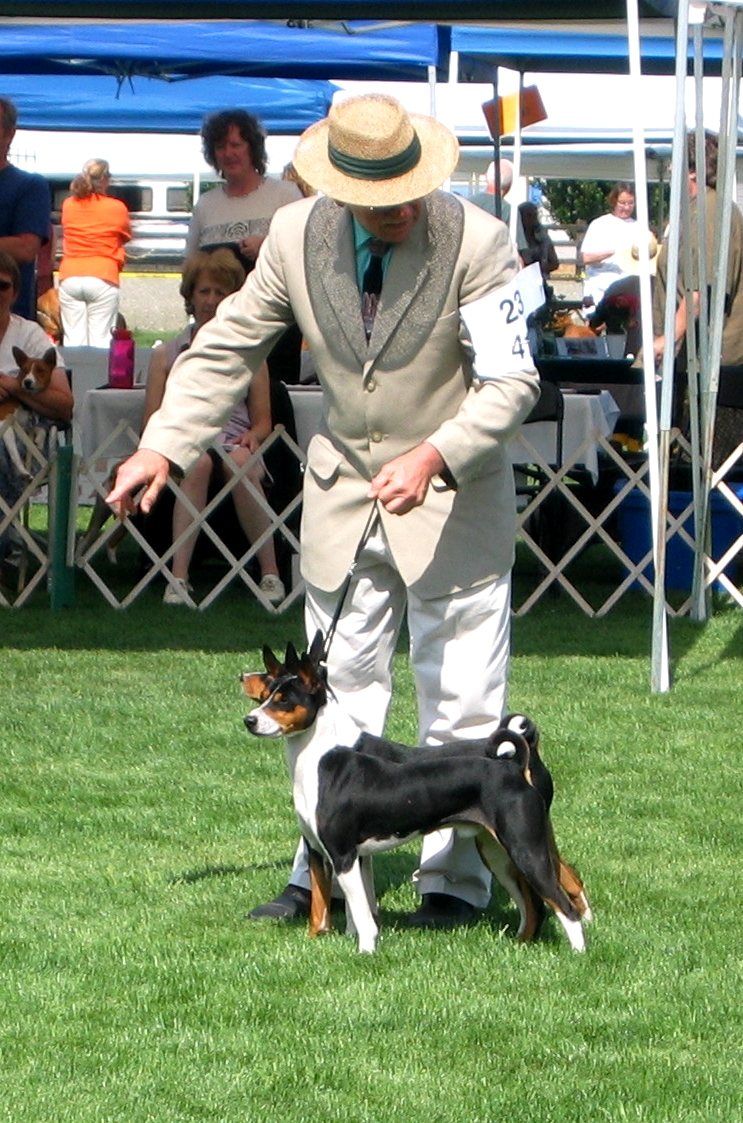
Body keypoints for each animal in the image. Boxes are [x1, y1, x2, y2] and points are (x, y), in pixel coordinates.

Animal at [0, 346, 57, 478]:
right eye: (24, 370)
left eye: (40, 370)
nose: (27, 382)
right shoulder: (5, 424)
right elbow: (14, 452)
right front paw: (23, 471)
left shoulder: (23, 426)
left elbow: (40, 429)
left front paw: (39, 441)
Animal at [241, 633, 588, 954]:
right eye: (267, 695)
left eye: (283, 700)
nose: (249, 720)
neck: (319, 759)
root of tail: (514, 763)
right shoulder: (328, 851)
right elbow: (331, 908)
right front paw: (325, 941)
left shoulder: (342, 854)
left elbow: (361, 915)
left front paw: (365, 952)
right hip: (498, 852)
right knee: (534, 905)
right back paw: (519, 945)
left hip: (525, 848)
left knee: (564, 904)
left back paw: (578, 954)